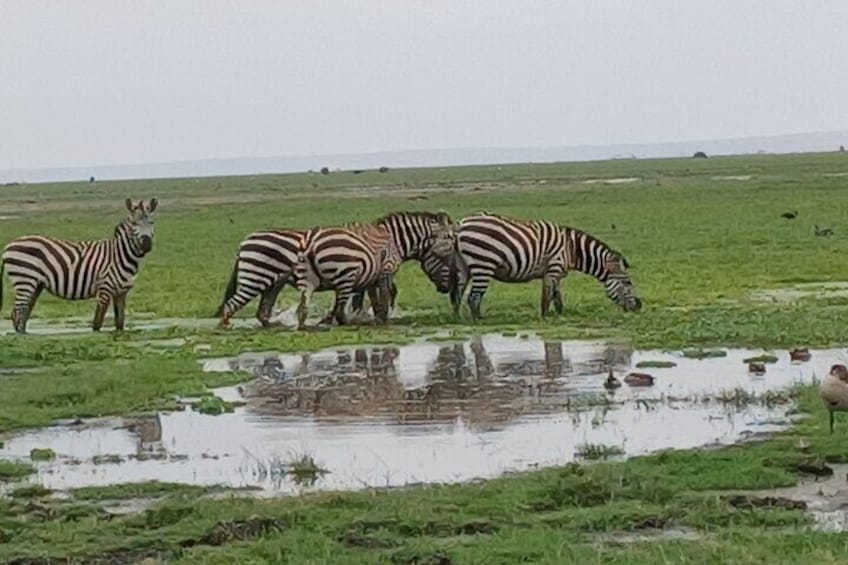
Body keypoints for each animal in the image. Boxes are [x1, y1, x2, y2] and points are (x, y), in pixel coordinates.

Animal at [1, 198, 157, 334]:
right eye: (134, 224)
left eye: (151, 222)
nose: (147, 245)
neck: (120, 255)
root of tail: (8, 246)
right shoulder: (104, 289)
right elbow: (97, 323)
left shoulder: (121, 292)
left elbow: (120, 322)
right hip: (24, 280)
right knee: (18, 313)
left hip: (35, 284)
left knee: (23, 312)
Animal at [443, 213, 641, 320]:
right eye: (628, 283)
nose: (638, 307)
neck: (571, 249)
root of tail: (460, 225)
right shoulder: (554, 269)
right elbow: (548, 296)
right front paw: (545, 317)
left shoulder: (555, 273)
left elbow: (556, 297)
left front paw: (560, 315)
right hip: (483, 264)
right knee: (473, 297)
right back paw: (478, 321)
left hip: (464, 266)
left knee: (457, 295)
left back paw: (458, 319)